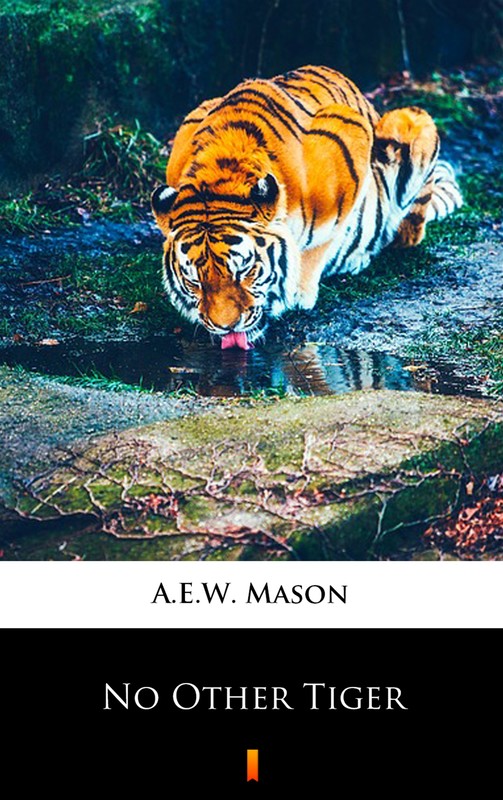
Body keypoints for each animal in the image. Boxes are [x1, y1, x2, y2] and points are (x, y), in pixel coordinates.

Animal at [151, 65, 462, 348]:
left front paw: (299, 292)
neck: (222, 170)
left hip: (410, 121)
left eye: (245, 271)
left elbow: (320, 242)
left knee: (407, 232)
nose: (226, 326)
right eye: (194, 281)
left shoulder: (351, 139)